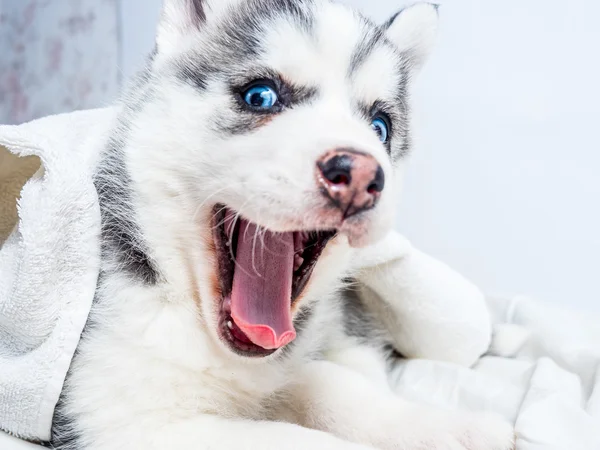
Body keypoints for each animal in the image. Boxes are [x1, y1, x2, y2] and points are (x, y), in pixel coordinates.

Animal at [51, 0, 512, 450]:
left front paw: (450, 426)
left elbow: (330, 383)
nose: (360, 177)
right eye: (260, 96)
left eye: (381, 127)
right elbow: (301, 439)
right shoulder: (124, 421)